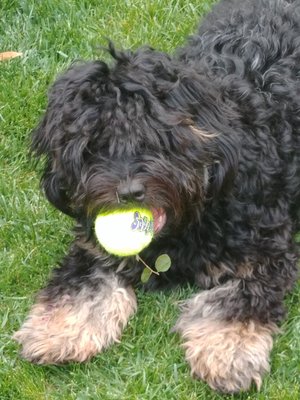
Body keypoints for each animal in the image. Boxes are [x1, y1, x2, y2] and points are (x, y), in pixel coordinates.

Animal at [15, 0, 300, 392]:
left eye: (156, 139)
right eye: (93, 146)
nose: (129, 192)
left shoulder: (266, 248)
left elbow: (238, 296)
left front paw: (227, 350)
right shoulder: (93, 246)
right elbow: (83, 282)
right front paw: (60, 329)